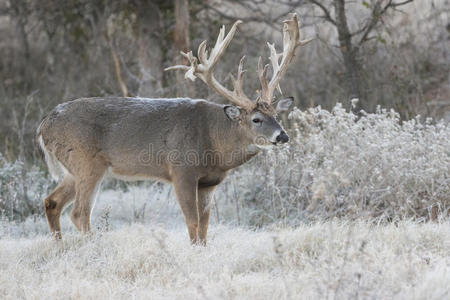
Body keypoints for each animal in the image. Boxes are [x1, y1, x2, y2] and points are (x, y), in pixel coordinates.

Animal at [37, 13, 312, 244]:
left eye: (276, 115)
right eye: (256, 119)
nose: (282, 135)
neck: (215, 142)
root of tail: (43, 126)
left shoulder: (210, 182)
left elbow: (205, 226)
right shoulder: (182, 170)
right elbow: (192, 222)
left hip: (73, 169)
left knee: (52, 202)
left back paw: (59, 246)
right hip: (87, 162)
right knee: (79, 213)